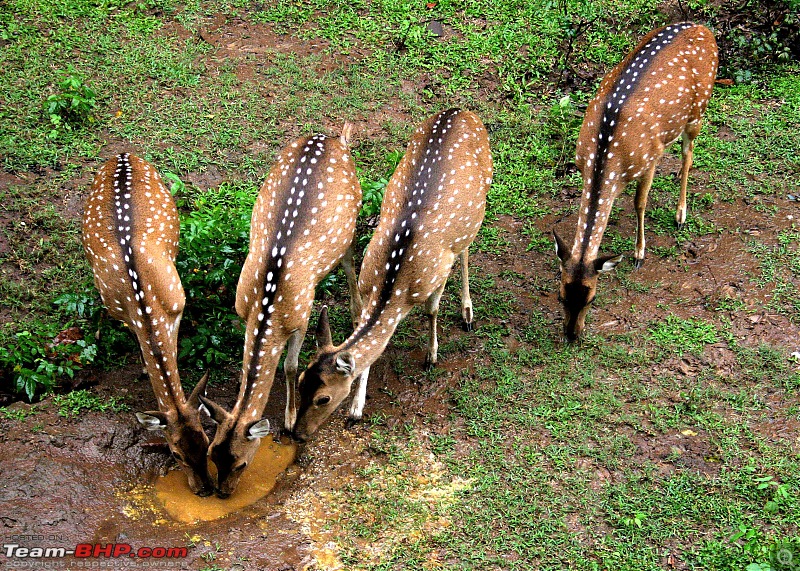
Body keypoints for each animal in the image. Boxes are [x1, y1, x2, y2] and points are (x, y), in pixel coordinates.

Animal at [81, 155, 214, 496]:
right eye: (176, 453)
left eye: (206, 441)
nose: (205, 489)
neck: (144, 304)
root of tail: (122, 155)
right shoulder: (120, 312)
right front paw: (144, 367)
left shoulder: (178, 301)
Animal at [200, 124, 362, 496]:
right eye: (212, 454)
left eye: (242, 464)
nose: (222, 493)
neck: (267, 305)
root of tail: (336, 139)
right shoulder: (241, 308)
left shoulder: (302, 314)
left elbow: (289, 366)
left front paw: (288, 420)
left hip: (351, 224)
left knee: (351, 266)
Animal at [292, 108, 494, 442]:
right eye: (300, 382)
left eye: (323, 398)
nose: (296, 433)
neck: (396, 286)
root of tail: (461, 110)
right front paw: (357, 408)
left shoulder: (437, 273)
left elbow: (432, 310)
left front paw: (431, 355)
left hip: (479, 202)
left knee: (465, 250)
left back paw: (467, 312)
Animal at [556, 24, 720, 342]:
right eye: (560, 295)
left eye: (592, 298)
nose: (571, 335)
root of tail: (703, 28)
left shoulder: (649, 159)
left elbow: (639, 202)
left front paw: (639, 253)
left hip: (699, 110)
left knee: (689, 152)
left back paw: (681, 213)